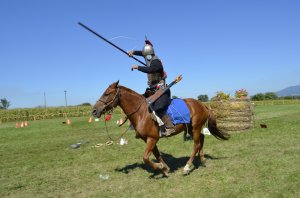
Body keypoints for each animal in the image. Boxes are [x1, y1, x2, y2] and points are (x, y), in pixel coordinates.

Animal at [92, 81, 229, 176]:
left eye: (107, 93)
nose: (94, 111)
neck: (141, 112)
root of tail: (202, 104)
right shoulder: (149, 139)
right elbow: (156, 154)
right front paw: (165, 169)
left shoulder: (152, 138)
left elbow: (145, 157)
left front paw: (160, 167)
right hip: (191, 128)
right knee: (202, 137)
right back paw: (202, 159)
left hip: (195, 128)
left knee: (196, 145)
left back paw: (187, 167)